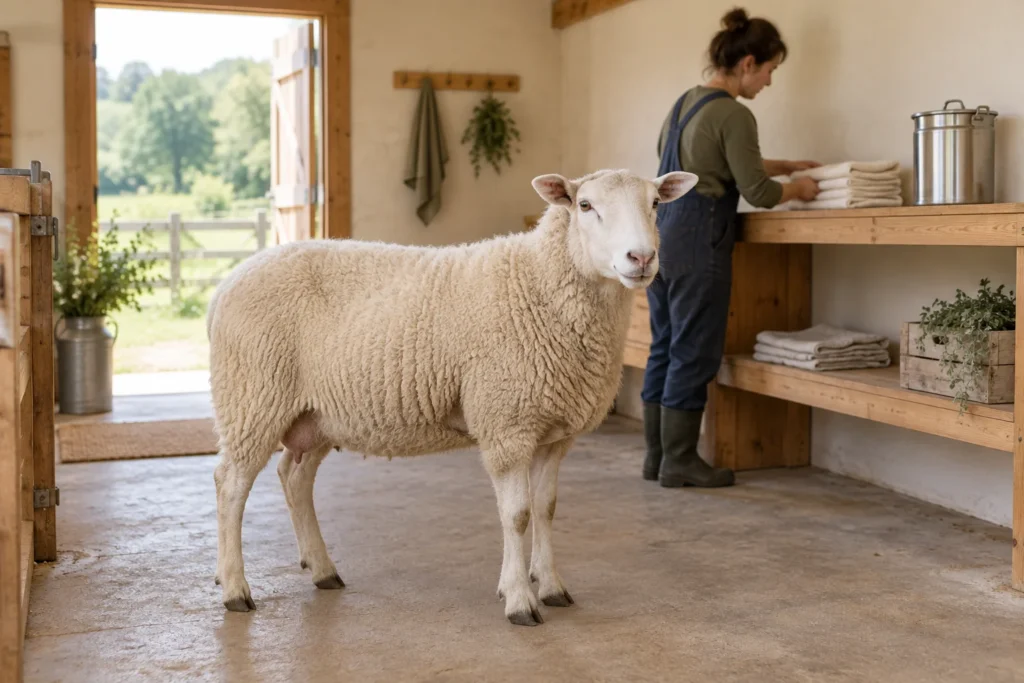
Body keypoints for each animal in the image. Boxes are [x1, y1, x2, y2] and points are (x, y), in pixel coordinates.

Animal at [207, 167, 699, 626]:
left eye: (656, 203)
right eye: (584, 205)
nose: (641, 257)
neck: (540, 282)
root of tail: (227, 283)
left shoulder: (553, 433)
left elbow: (545, 509)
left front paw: (551, 585)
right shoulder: (507, 423)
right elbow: (517, 515)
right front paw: (520, 600)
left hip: (316, 414)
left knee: (295, 477)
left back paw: (323, 569)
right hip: (252, 397)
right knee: (230, 485)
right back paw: (235, 589)